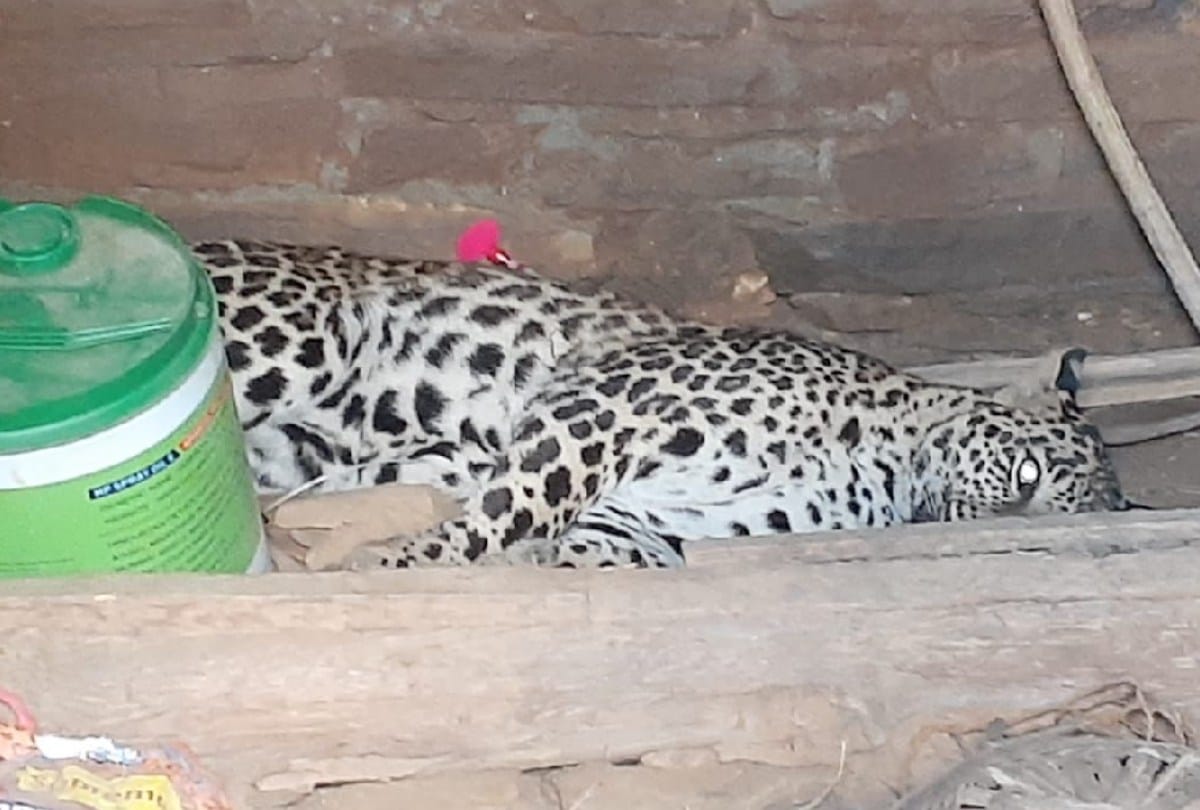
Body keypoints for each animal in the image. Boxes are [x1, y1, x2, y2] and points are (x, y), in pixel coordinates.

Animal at [199, 238, 1133, 571]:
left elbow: (578, 545)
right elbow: (512, 509)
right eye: (1021, 476)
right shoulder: (603, 412)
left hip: (292, 446)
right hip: (302, 341)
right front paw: (400, 563)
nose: (987, 528)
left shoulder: (642, 518)